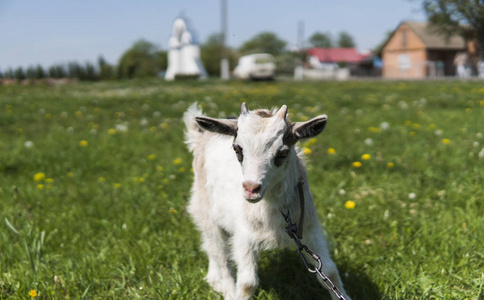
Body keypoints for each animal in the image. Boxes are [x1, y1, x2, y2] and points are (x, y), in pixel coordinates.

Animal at [183, 102, 350, 298]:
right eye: (237, 149)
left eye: (282, 153)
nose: (251, 189)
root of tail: (200, 138)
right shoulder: (244, 235)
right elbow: (247, 283)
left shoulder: (309, 230)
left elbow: (329, 271)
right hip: (204, 209)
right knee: (218, 250)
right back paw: (226, 289)